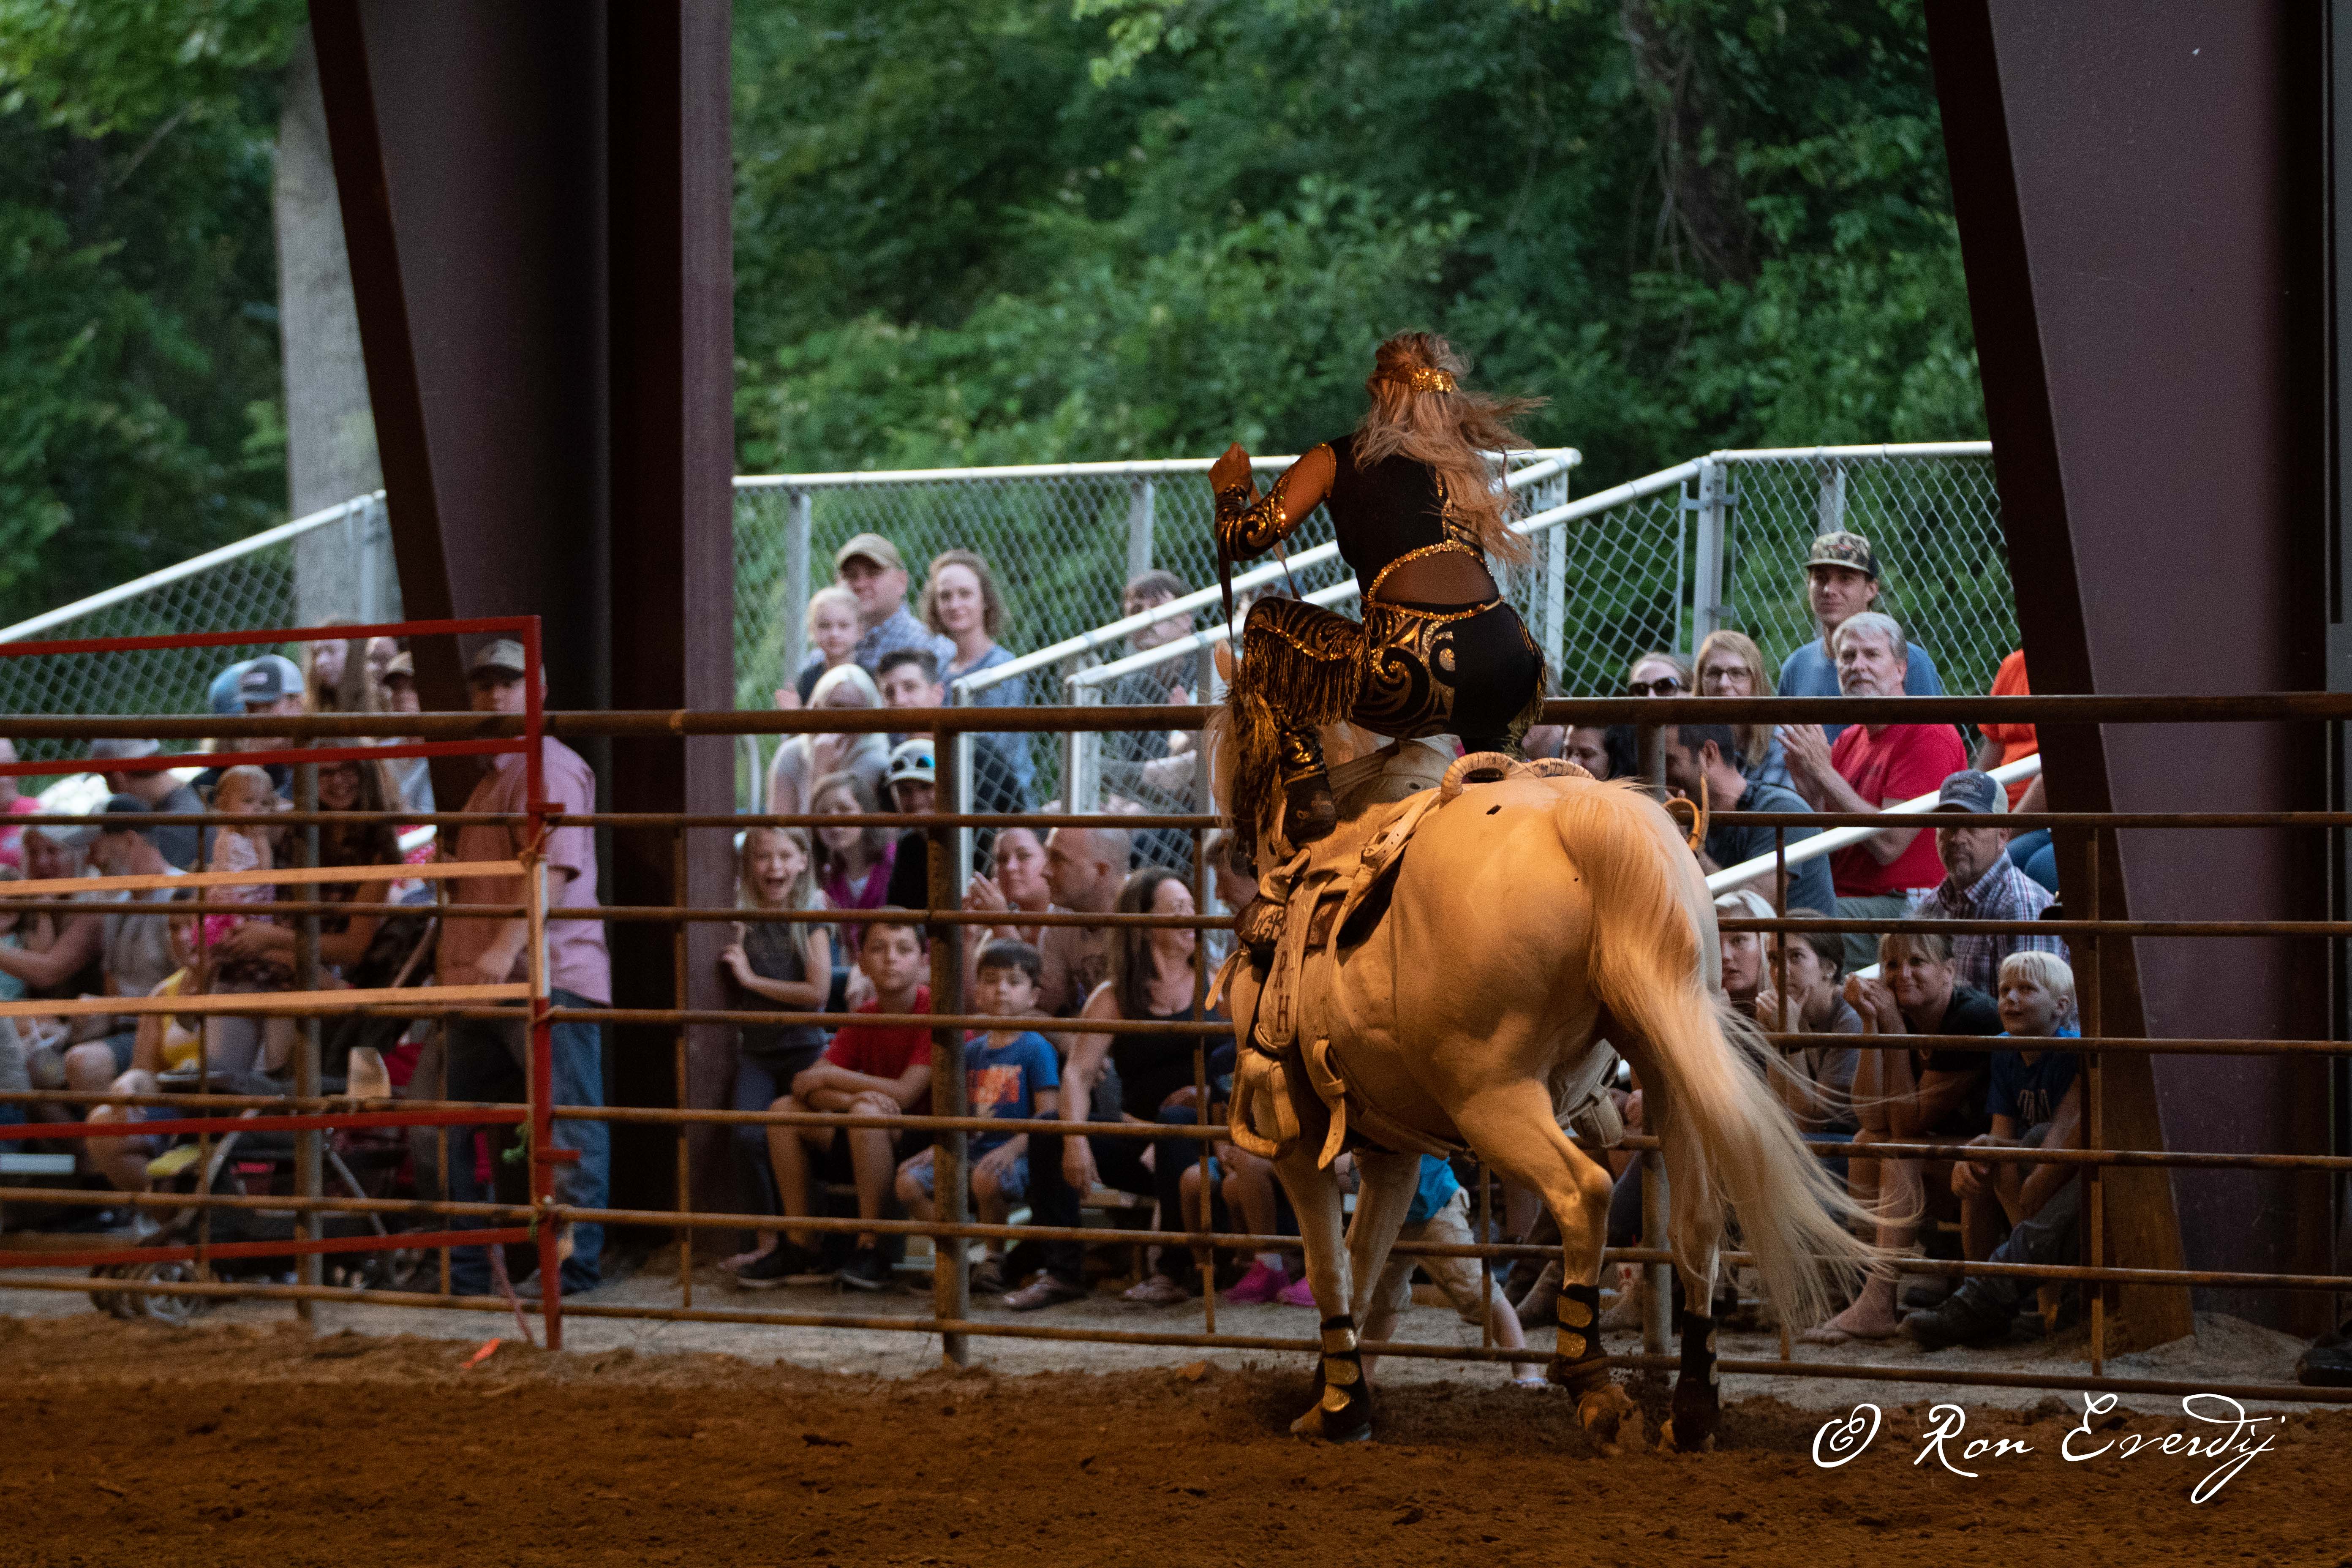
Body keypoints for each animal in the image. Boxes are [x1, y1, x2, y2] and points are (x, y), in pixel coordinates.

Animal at [1207, 706, 1894, 1452]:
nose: (1235, 848)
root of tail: (1581, 819)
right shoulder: (1393, 1152)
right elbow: (1364, 1265)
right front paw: (1335, 1390)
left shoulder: (1298, 1141)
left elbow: (1329, 1266)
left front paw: (1337, 1407)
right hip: (1668, 1063)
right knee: (1697, 1219)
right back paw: (1691, 1410)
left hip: (1493, 1095)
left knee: (1585, 1192)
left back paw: (1593, 1385)